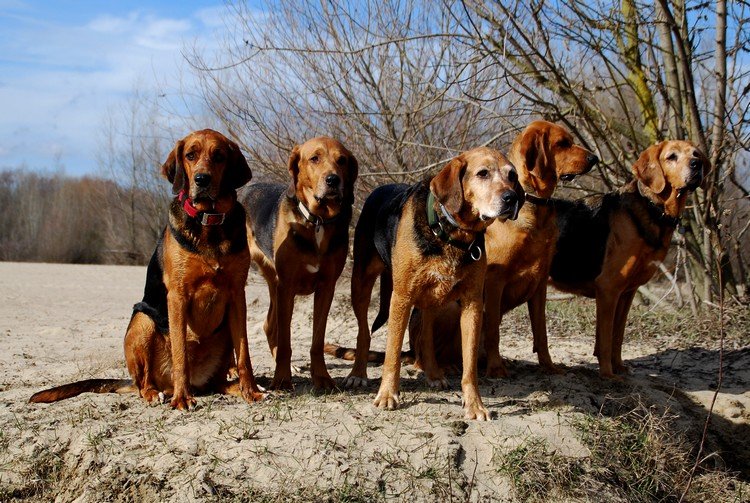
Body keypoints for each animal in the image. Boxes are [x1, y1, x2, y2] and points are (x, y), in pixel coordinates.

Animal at [30, 130, 266, 410]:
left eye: (219, 156)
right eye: (190, 155)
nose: (201, 179)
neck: (209, 222)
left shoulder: (237, 295)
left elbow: (244, 354)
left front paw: (251, 391)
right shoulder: (177, 296)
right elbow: (180, 354)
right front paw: (182, 399)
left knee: (219, 379)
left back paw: (235, 387)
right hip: (142, 321)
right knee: (144, 382)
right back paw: (158, 393)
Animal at [241, 136, 358, 392]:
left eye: (342, 160)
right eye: (314, 158)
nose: (333, 180)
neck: (317, 221)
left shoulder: (326, 288)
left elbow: (317, 341)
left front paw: (322, 378)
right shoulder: (287, 288)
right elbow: (286, 341)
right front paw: (282, 380)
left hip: (273, 284)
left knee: (268, 325)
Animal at [340, 147, 524, 422]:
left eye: (512, 176)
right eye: (482, 173)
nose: (511, 198)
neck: (451, 234)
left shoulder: (471, 304)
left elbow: (470, 365)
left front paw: (474, 405)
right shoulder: (401, 297)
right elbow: (392, 354)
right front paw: (387, 395)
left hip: (432, 297)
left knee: (426, 334)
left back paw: (434, 373)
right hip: (361, 284)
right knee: (364, 333)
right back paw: (358, 374)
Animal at [548, 141, 708, 378]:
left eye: (696, 154)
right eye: (671, 157)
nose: (697, 165)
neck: (652, 208)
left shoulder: (626, 293)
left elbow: (617, 336)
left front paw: (619, 368)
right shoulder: (608, 289)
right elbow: (605, 340)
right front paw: (608, 375)